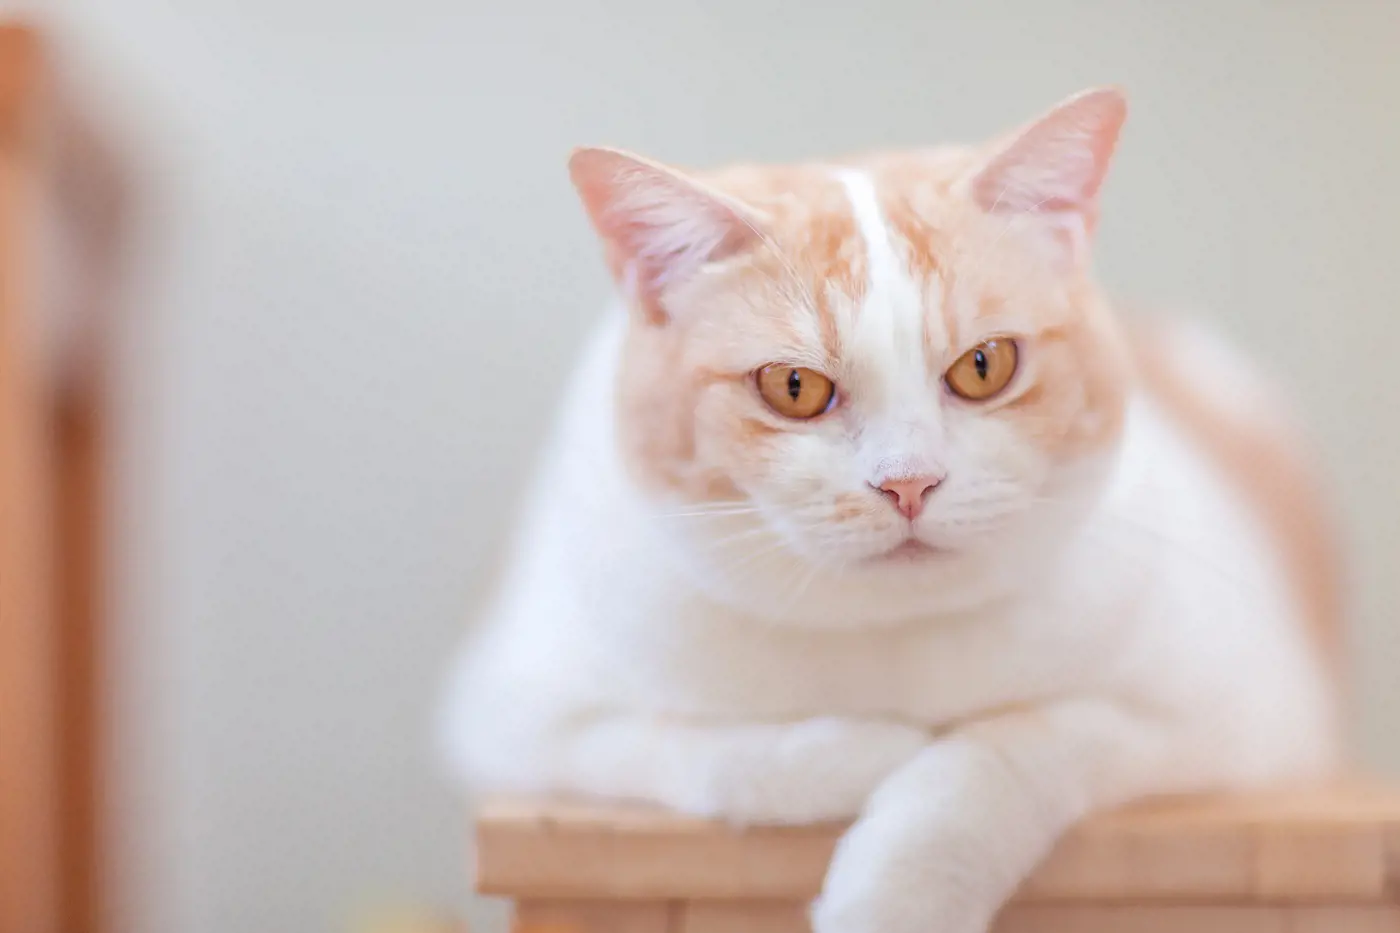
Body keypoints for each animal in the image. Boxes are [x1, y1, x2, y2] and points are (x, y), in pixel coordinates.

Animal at [442, 88, 1338, 930]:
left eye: (985, 365)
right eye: (793, 387)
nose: (910, 482)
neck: (890, 639)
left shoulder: (1228, 718)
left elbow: (1002, 750)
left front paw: (899, 891)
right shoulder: (519, 716)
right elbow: (706, 754)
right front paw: (867, 748)